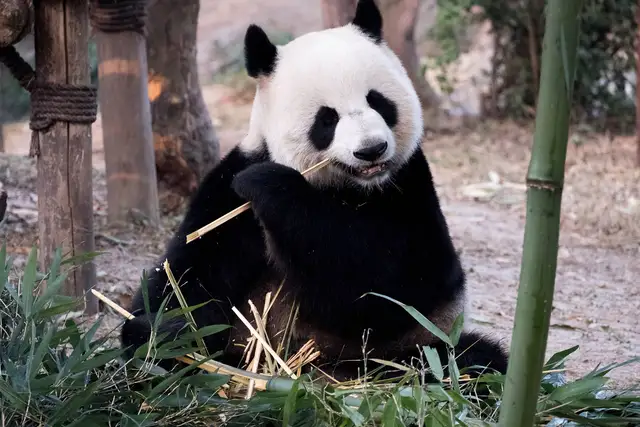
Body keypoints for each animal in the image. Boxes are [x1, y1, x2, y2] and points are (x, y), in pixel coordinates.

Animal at [121, 0, 508, 380]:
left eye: (378, 101)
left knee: (466, 361)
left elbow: (391, 287)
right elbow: (189, 273)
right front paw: (163, 334)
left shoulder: (409, 185)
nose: (371, 150)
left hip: (411, 349)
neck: (351, 188)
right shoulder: (227, 193)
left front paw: (268, 183)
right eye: (327, 118)